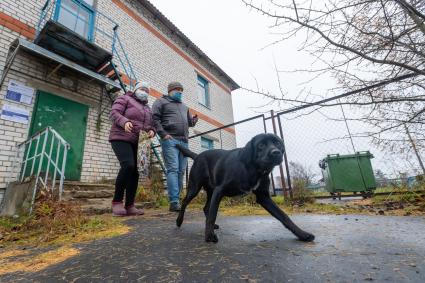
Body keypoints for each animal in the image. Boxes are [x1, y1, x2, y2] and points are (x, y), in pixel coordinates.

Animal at [174, 134, 314, 244]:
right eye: (261, 145)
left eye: (278, 143)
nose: (276, 153)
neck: (253, 169)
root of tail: (198, 155)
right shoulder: (220, 190)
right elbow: (213, 214)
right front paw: (209, 235)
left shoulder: (264, 197)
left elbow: (284, 216)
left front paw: (302, 234)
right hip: (195, 187)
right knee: (185, 202)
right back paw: (179, 221)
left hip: (211, 191)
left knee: (206, 207)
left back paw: (213, 226)